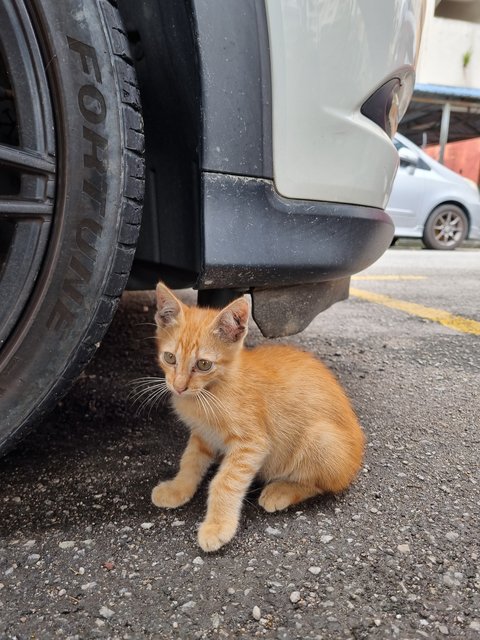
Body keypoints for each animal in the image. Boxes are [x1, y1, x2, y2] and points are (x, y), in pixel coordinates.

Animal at [150, 282, 364, 552]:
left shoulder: (252, 444)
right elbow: (190, 461)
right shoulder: (203, 435)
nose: (178, 387)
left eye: (204, 364)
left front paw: (217, 526)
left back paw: (281, 490)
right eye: (170, 358)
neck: (211, 391)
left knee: (324, 484)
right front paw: (178, 489)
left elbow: (224, 482)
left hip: (321, 439)